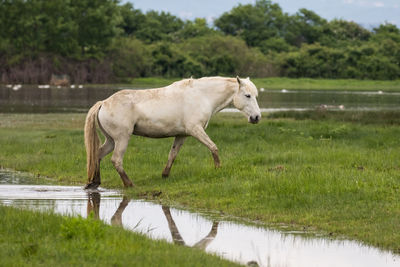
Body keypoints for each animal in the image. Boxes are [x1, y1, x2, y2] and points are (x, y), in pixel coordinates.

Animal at [83, 76, 260, 189]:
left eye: (255, 95)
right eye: (247, 95)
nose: (256, 117)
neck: (202, 95)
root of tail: (103, 103)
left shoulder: (182, 135)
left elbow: (172, 155)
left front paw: (165, 175)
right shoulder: (196, 130)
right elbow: (213, 147)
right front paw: (218, 169)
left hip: (111, 140)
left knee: (97, 155)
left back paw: (95, 182)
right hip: (122, 139)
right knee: (116, 161)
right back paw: (129, 184)